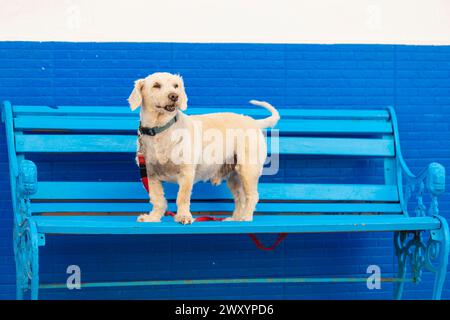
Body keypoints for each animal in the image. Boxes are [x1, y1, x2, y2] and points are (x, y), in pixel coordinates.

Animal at [128, 72, 280, 225]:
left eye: (176, 86)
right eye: (156, 85)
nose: (174, 96)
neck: (161, 128)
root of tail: (253, 122)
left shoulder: (186, 173)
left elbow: (182, 197)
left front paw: (184, 216)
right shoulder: (150, 174)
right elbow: (157, 199)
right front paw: (153, 217)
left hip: (248, 171)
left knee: (252, 196)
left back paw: (246, 217)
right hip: (234, 177)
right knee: (240, 198)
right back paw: (235, 219)